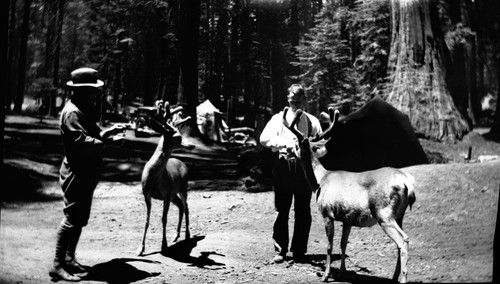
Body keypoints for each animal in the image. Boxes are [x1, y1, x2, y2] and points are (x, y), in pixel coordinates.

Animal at [137, 101, 193, 256]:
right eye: (178, 137)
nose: (192, 145)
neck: (154, 178)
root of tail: (183, 164)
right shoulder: (147, 194)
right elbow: (146, 220)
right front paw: (140, 248)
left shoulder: (166, 194)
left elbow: (164, 219)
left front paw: (163, 245)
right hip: (174, 194)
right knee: (181, 206)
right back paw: (176, 235)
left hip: (183, 187)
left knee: (186, 207)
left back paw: (187, 235)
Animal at [284, 107, 416, 284]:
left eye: (297, 144)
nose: (289, 151)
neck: (320, 180)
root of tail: (407, 182)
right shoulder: (347, 218)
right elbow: (343, 244)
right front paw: (342, 272)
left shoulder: (327, 213)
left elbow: (329, 245)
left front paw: (326, 275)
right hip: (399, 214)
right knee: (399, 242)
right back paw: (394, 277)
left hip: (384, 213)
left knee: (403, 240)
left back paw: (402, 279)